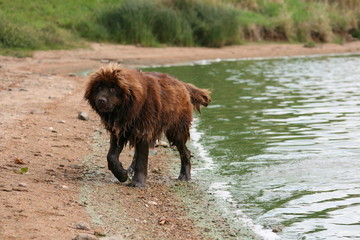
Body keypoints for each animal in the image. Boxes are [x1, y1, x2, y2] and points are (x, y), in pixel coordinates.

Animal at [83, 64, 211, 188]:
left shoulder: (143, 130)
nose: (101, 100)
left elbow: (141, 159)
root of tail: (182, 84)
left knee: (185, 152)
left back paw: (184, 176)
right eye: (99, 87)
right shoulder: (119, 131)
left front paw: (138, 182)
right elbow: (111, 156)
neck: (128, 107)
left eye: (113, 88)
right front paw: (122, 174)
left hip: (176, 130)